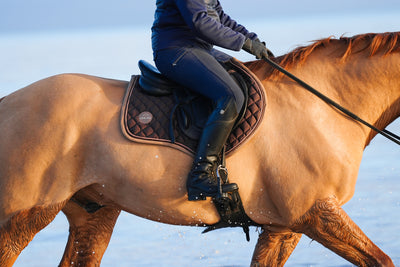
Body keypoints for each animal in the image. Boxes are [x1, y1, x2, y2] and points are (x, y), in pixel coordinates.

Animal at [0, 31, 400, 266]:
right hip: (25, 216)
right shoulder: (315, 214)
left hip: (93, 214)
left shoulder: (284, 227)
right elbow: (380, 260)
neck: (321, 105)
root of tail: (9, 103)